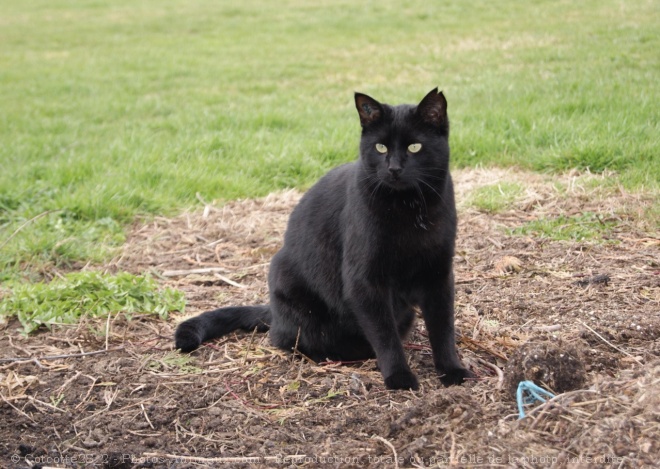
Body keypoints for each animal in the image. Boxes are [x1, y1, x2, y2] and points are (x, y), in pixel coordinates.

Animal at [175, 89, 474, 390]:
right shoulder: (364, 280)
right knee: (289, 338)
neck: (409, 209)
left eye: (414, 147)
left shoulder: (438, 274)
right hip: (289, 286)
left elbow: (443, 328)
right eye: (380, 148)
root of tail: (274, 311)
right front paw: (399, 376)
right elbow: (384, 334)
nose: (394, 169)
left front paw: (452, 369)